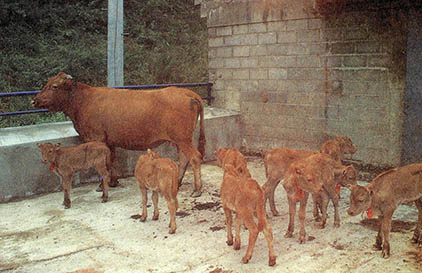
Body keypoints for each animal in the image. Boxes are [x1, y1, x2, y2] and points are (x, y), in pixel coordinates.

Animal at [31, 71, 206, 197]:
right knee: (183, 160)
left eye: (54, 86)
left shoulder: (96, 137)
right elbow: (111, 160)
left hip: (182, 138)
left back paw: (197, 190)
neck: (83, 101)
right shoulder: (109, 140)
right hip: (179, 140)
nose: (34, 100)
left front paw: (102, 186)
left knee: (195, 157)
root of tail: (188, 93)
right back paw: (177, 183)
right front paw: (112, 182)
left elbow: (104, 163)